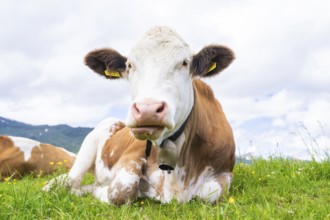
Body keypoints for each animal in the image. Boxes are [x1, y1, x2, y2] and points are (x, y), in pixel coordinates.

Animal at [43, 26, 236, 205]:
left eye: (184, 62)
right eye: (129, 65)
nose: (147, 110)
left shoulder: (225, 171)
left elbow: (208, 194)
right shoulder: (131, 155)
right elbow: (120, 192)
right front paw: (99, 191)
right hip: (90, 143)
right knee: (69, 179)